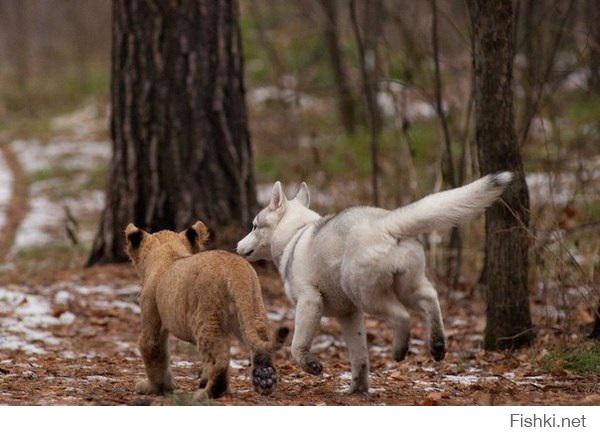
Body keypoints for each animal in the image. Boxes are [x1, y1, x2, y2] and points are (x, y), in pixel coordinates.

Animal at [237, 172, 512, 394]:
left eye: (254, 226)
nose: (237, 246)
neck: (295, 233)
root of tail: (386, 222)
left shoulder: (309, 302)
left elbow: (297, 346)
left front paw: (312, 366)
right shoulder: (349, 315)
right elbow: (360, 357)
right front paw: (357, 389)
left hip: (364, 294)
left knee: (402, 316)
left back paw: (400, 349)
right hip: (407, 286)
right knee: (430, 298)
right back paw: (437, 344)